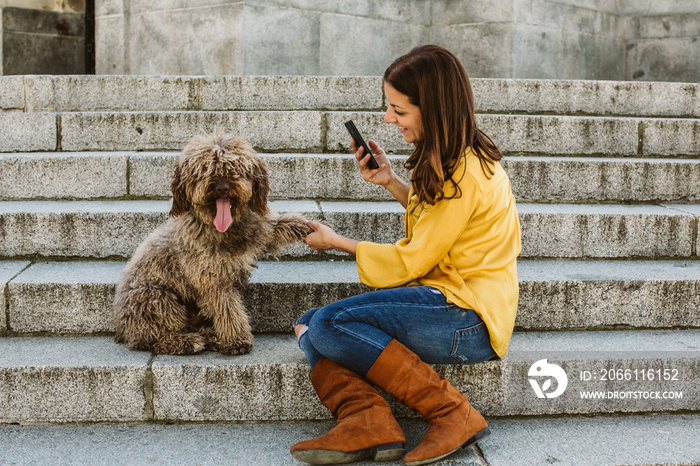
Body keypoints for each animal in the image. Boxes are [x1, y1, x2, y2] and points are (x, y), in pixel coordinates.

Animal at [113, 133, 310, 354]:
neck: (224, 229)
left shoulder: (256, 230)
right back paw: (188, 341)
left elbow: (273, 227)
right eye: (204, 169)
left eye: (235, 168)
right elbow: (228, 309)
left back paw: (210, 336)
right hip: (156, 298)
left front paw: (304, 226)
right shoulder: (212, 278)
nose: (222, 187)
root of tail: (122, 330)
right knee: (160, 337)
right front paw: (237, 340)